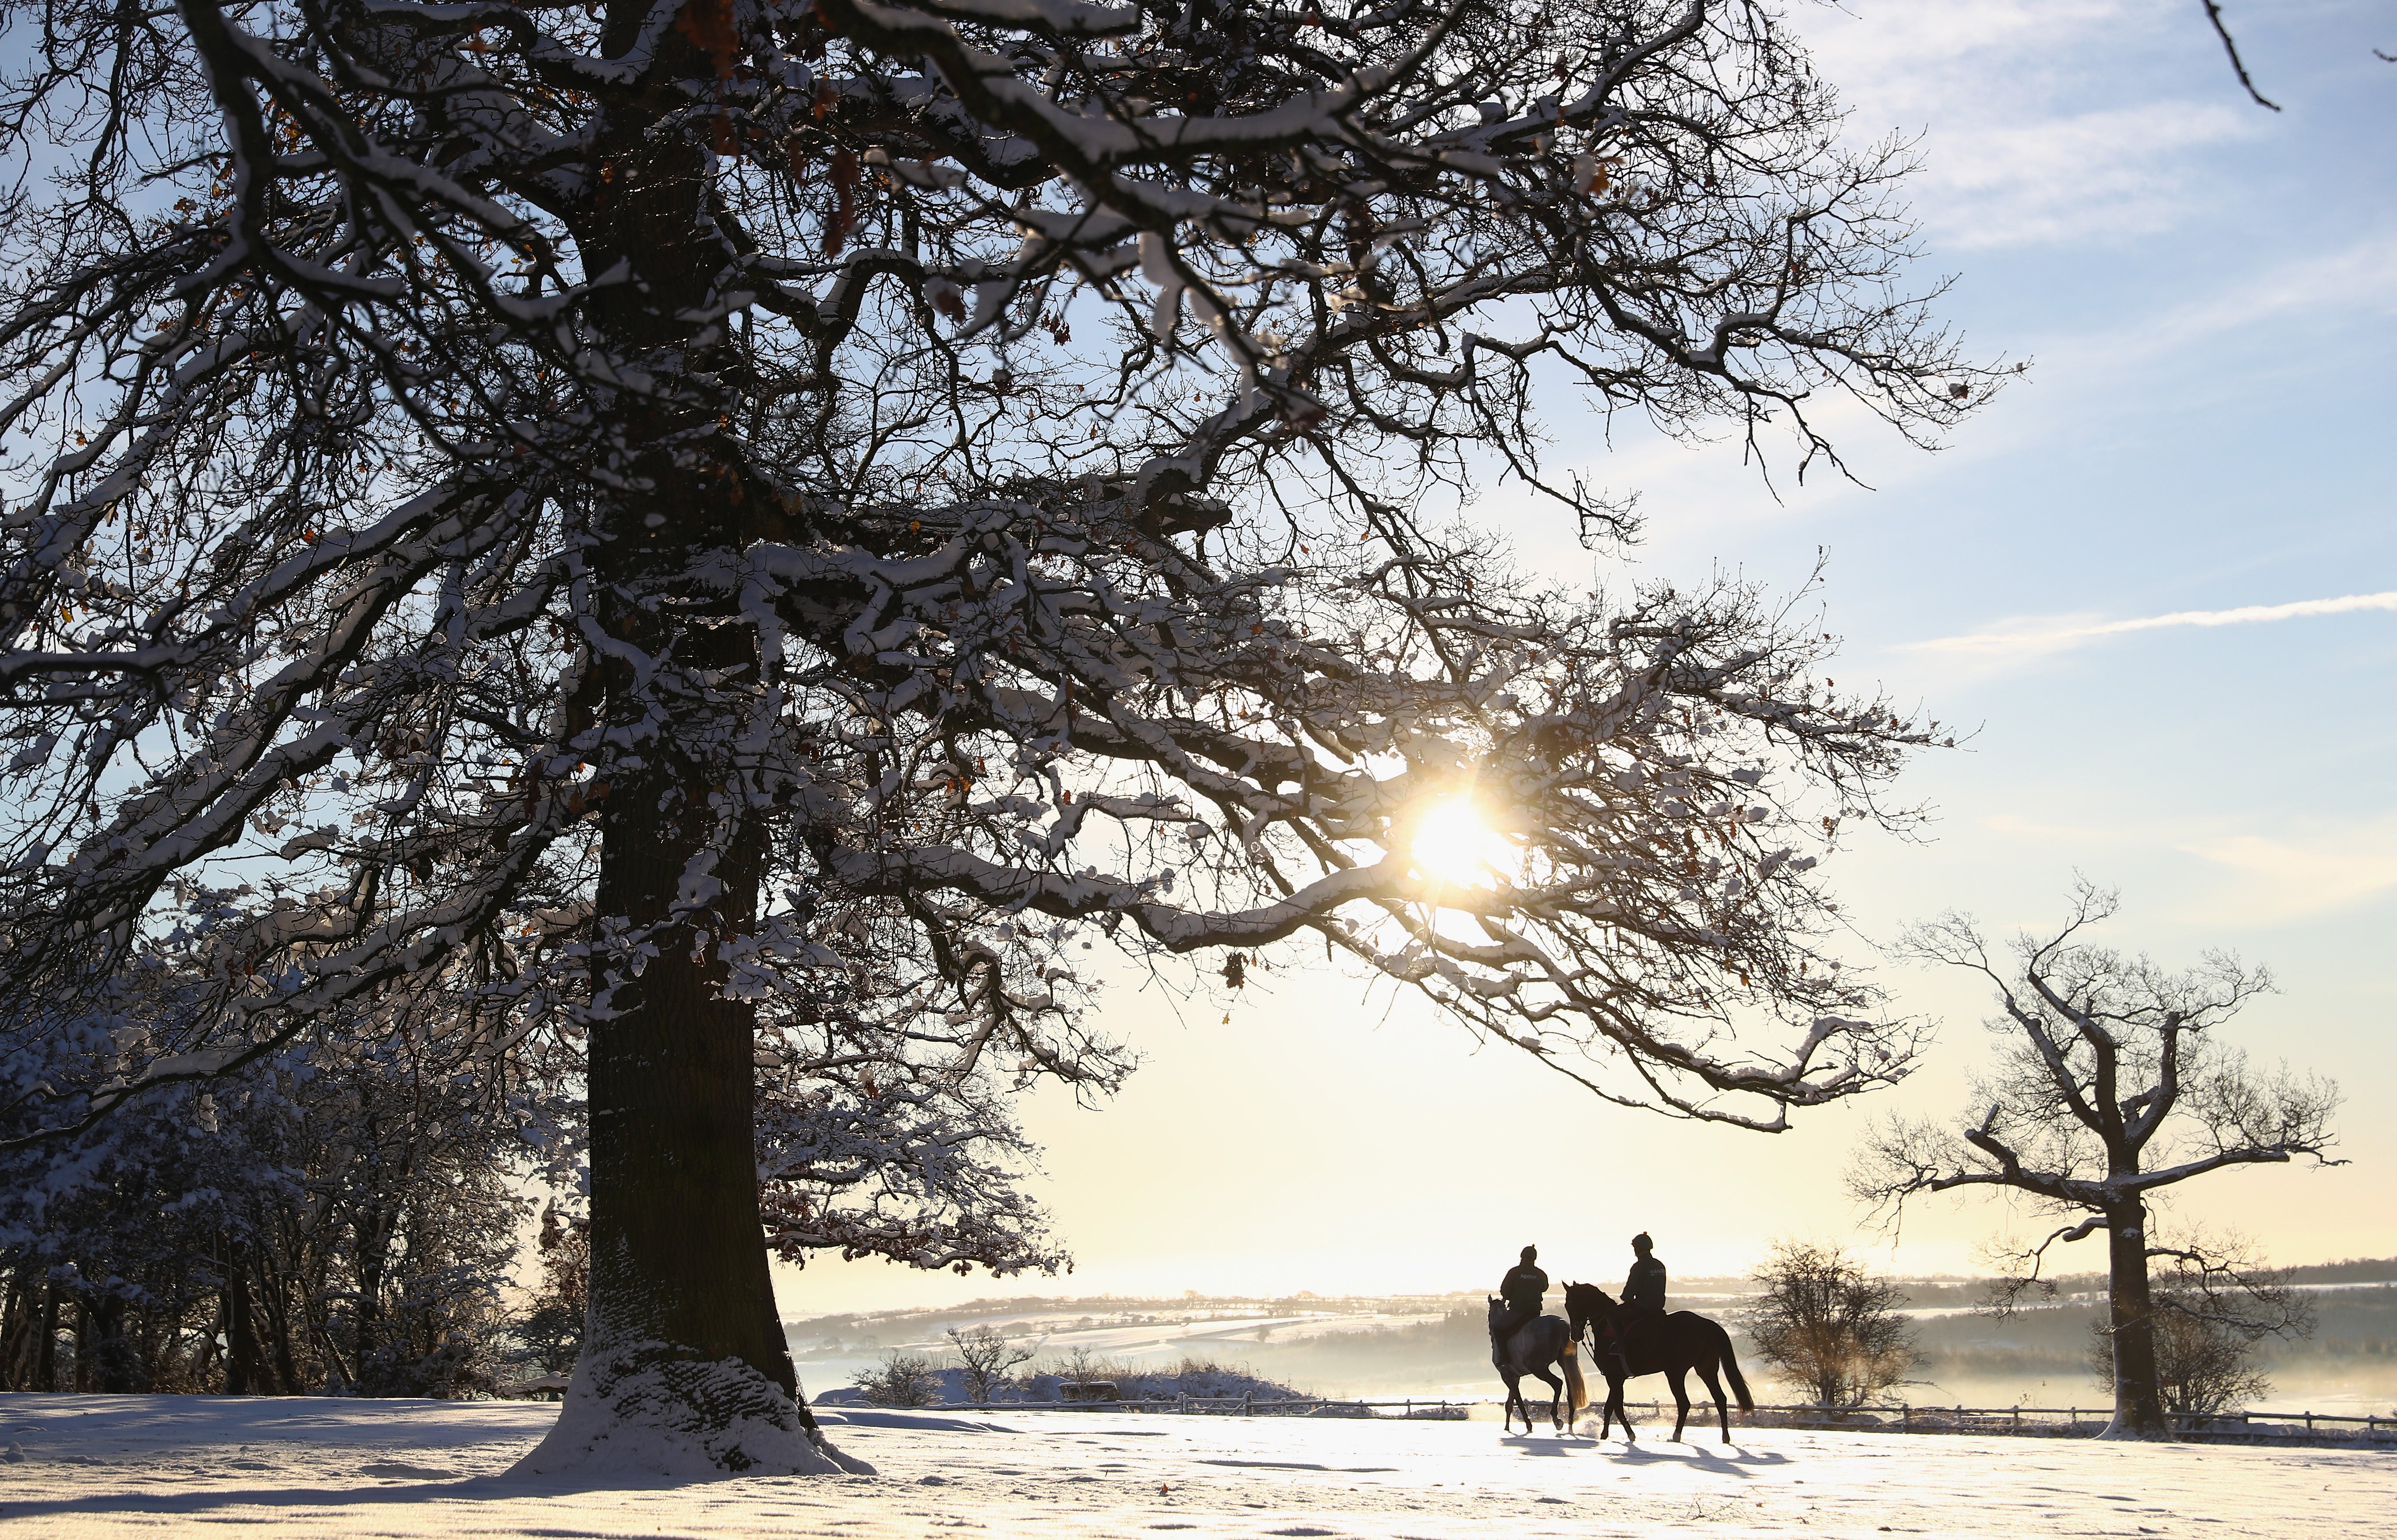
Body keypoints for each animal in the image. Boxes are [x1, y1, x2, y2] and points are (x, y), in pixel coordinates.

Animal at [1476, 1303, 1591, 1437]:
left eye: (1488, 1315)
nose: (1490, 1333)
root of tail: (1560, 1324)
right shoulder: (1515, 1377)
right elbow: (1510, 1403)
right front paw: (1507, 1428)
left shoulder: (1507, 1376)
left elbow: (1518, 1401)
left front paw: (1528, 1425)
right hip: (1564, 1363)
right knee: (1570, 1391)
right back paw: (1570, 1427)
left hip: (1539, 1369)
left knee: (1558, 1384)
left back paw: (1556, 1419)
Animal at [1563, 1274, 1754, 1446]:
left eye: (1569, 1304)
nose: (1575, 1335)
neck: (1606, 1325)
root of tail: (1709, 1326)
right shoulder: (1617, 1378)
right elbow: (1610, 1406)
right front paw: (1604, 1435)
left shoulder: (1614, 1377)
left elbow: (1616, 1407)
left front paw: (1630, 1435)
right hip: (1706, 1369)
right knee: (1720, 1399)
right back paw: (1725, 1437)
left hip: (1676, 1373)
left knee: (1684, 1403)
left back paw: (1676, 1435)